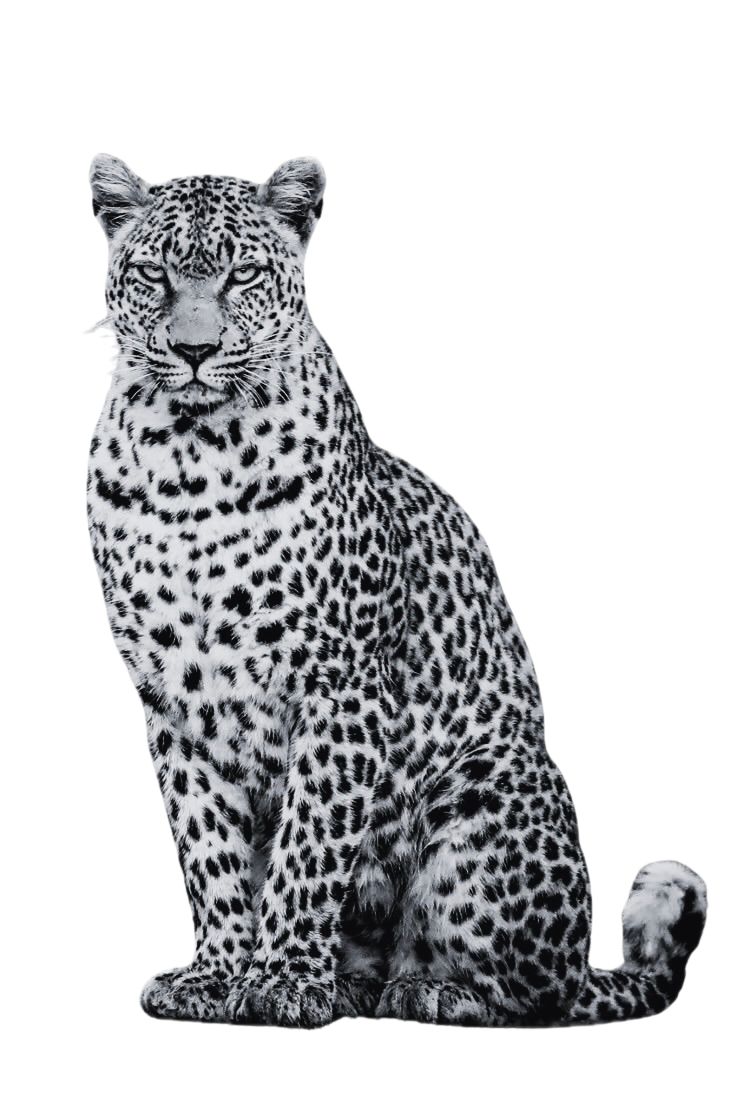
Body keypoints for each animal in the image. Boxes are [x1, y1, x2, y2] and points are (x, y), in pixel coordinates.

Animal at [86, 154, 706, 1028]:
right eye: (153, 275)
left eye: (244, 275)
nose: (195, 350)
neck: (188, 456)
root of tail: (584, 962)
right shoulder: (173, 703)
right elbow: (207, 850)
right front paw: (217, 975)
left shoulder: (338, 684)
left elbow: (310, 842)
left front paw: (280, 980)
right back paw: (355, 983)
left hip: (490, 787)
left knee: (533, 993)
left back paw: (432, 989)